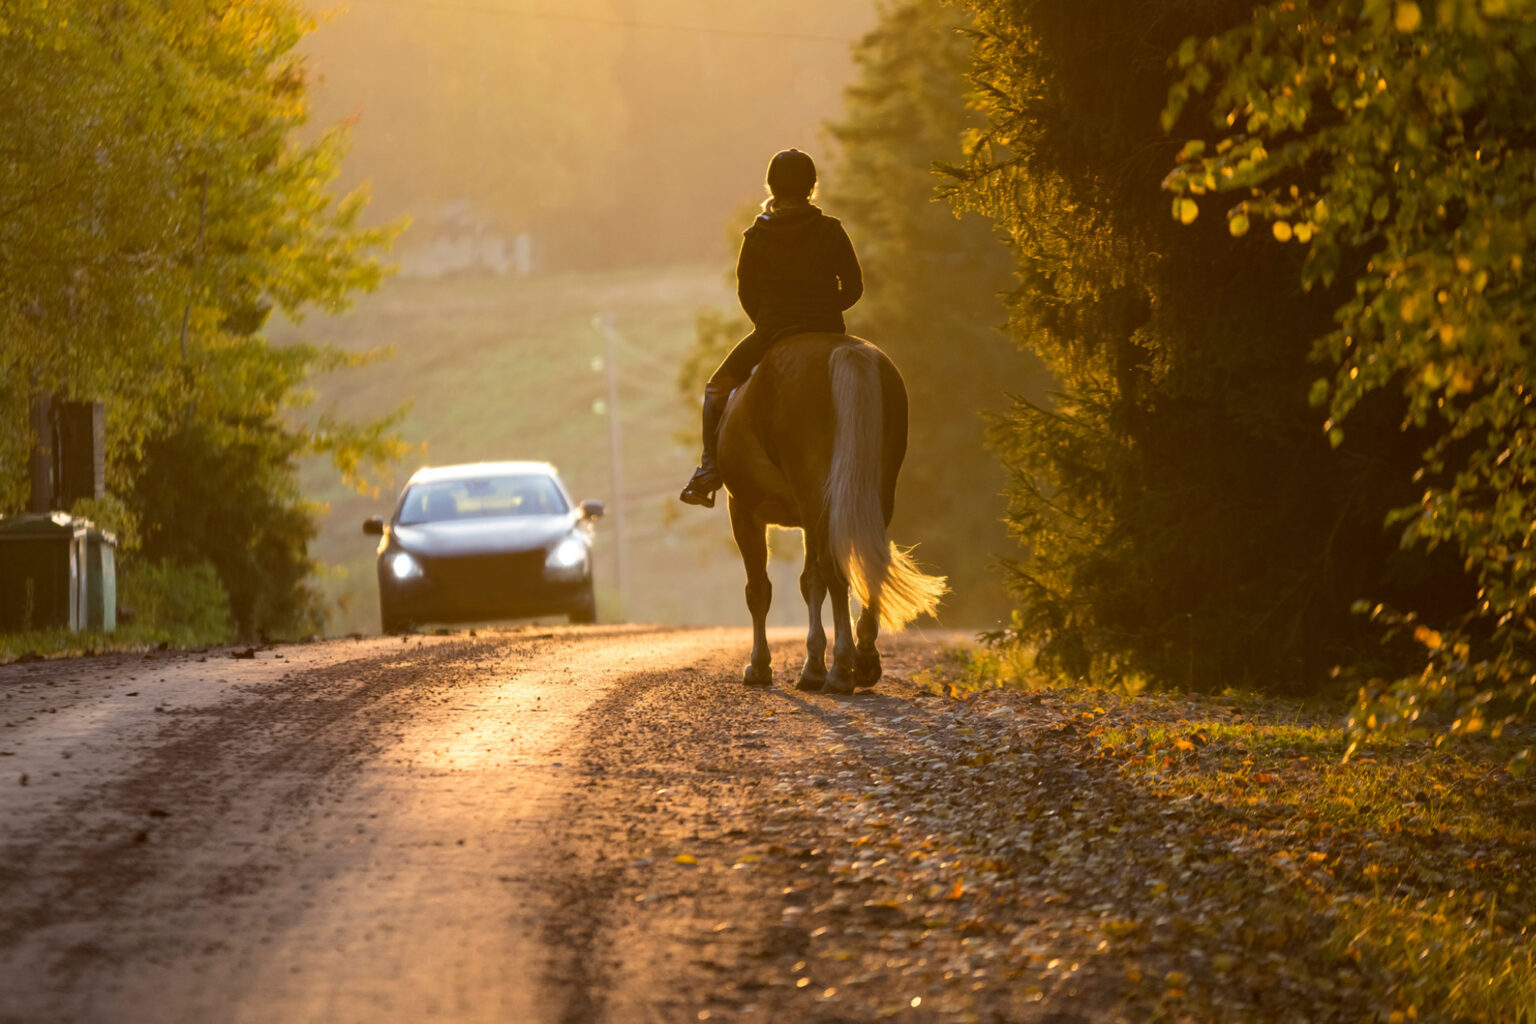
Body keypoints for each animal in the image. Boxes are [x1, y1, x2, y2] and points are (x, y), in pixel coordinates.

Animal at [716, 332, 948, 694]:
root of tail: (844, 350)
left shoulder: (743, 509)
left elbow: (759, 590)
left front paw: (760, 666)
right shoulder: (811, 519)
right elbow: (810, 582)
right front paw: (812, 666)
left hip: (811, 496)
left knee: (835, 573)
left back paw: (841, 670)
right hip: (868, 496)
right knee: (867, 565)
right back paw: (864, 660)